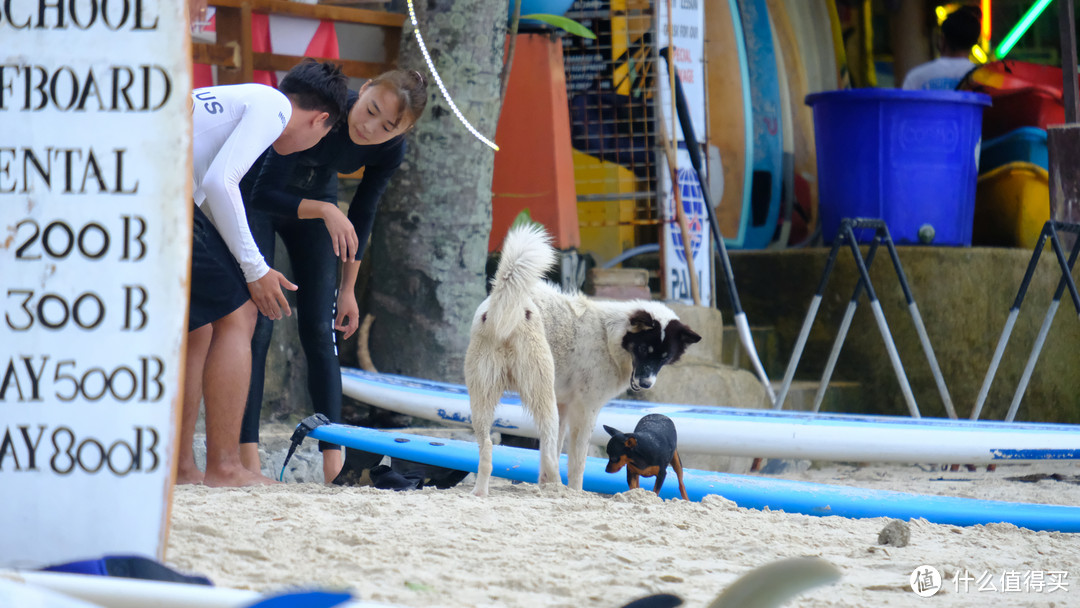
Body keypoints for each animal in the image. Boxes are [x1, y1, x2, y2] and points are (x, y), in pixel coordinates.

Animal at [464, 223, 699, 494]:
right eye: (643, 349)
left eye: (664, 357)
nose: (646, 384)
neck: (609, 335)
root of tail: (502, 302)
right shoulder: (585, 410)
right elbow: (577, 461)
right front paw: (573, 491)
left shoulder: (564, 405)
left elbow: (555, 452)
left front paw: (545, 486)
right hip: (542, 396)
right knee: (546, 445)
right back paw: (557, 486)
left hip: (484, 398)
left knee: (489, 447)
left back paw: (481, 492)